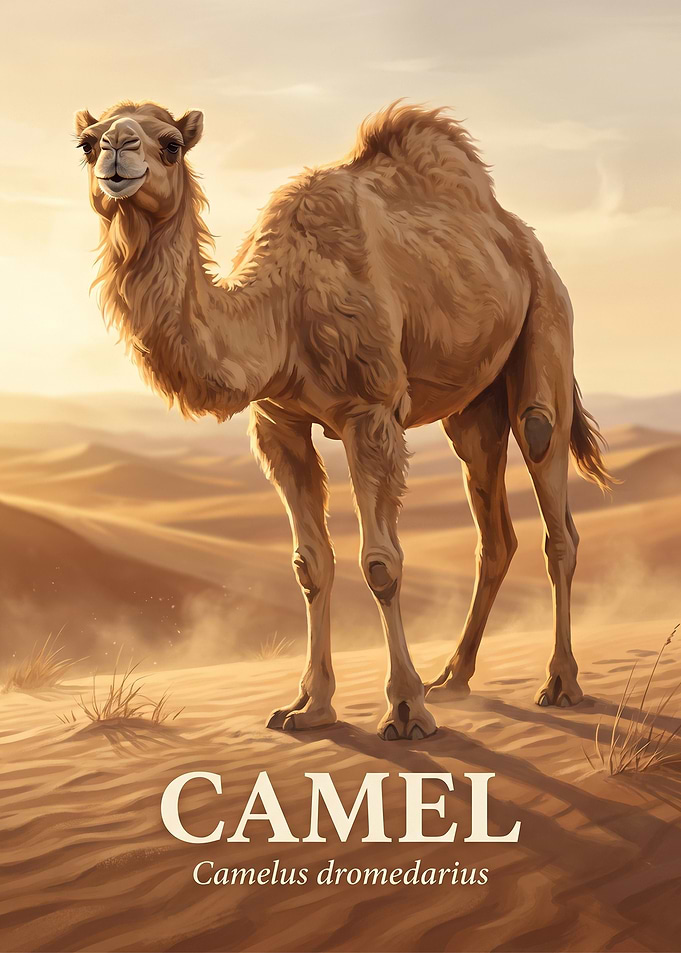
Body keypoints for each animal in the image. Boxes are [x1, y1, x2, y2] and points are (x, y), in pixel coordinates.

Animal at [74, 100, 613, 741]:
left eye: (171, 143)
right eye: (85, 143)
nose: (116, 151)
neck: (281, 308)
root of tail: (523, 240)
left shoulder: (371, 411)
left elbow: (380, 563)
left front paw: (405, 711)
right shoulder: (277, 422)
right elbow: (311, 564)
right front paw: (309, 707)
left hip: (547, 320)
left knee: (546, 466)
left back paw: (560, 683)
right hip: (473, 408)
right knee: (494, 531)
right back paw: (453, 678)